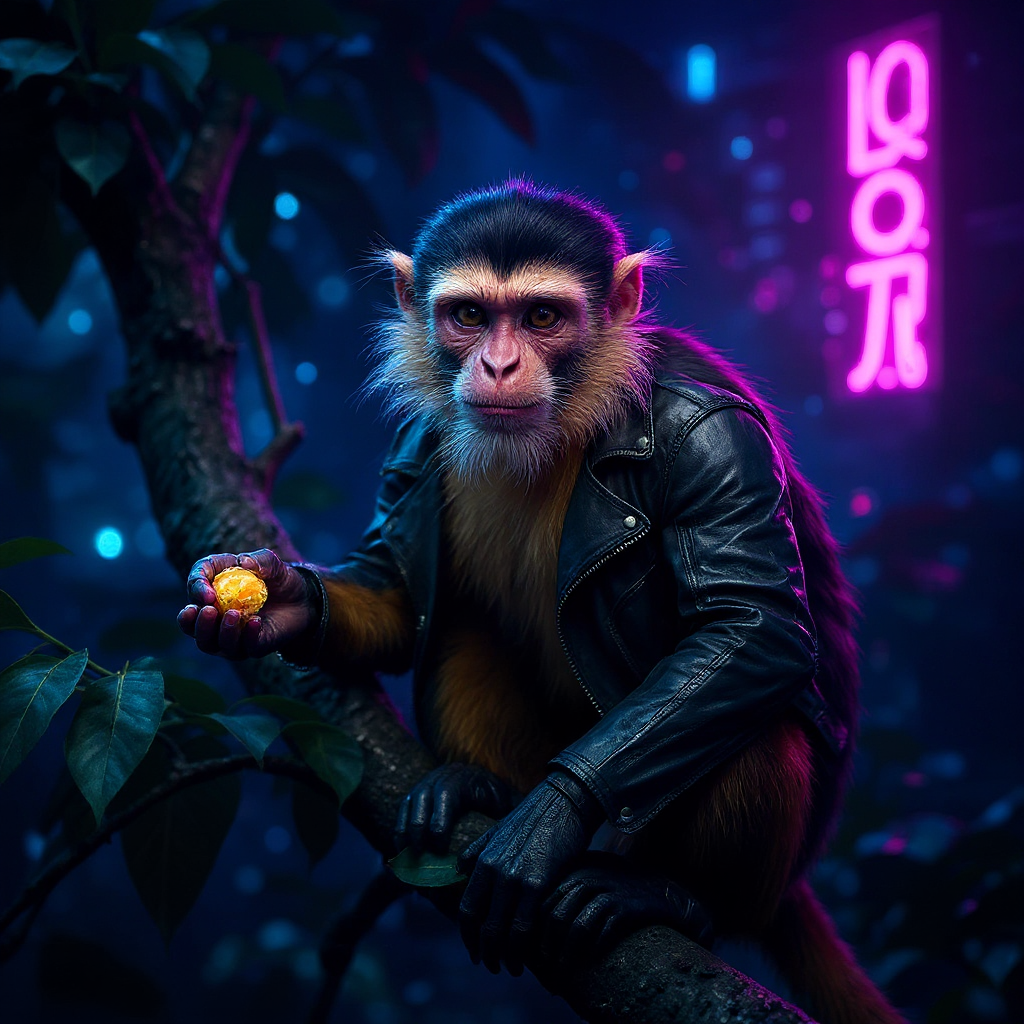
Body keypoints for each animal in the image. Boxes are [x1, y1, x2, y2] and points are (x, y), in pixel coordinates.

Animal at [179, 180, 905, 1024]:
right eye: (468, 316)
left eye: (542, 318)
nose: (497, 365)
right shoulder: (413, 441)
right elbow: (401, 590)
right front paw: (284, 600)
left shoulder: (713, 436)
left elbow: (755, 626)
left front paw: (549, 820)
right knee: (465, 626)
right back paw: (482, 786)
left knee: (759, 716)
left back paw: (673, 897)